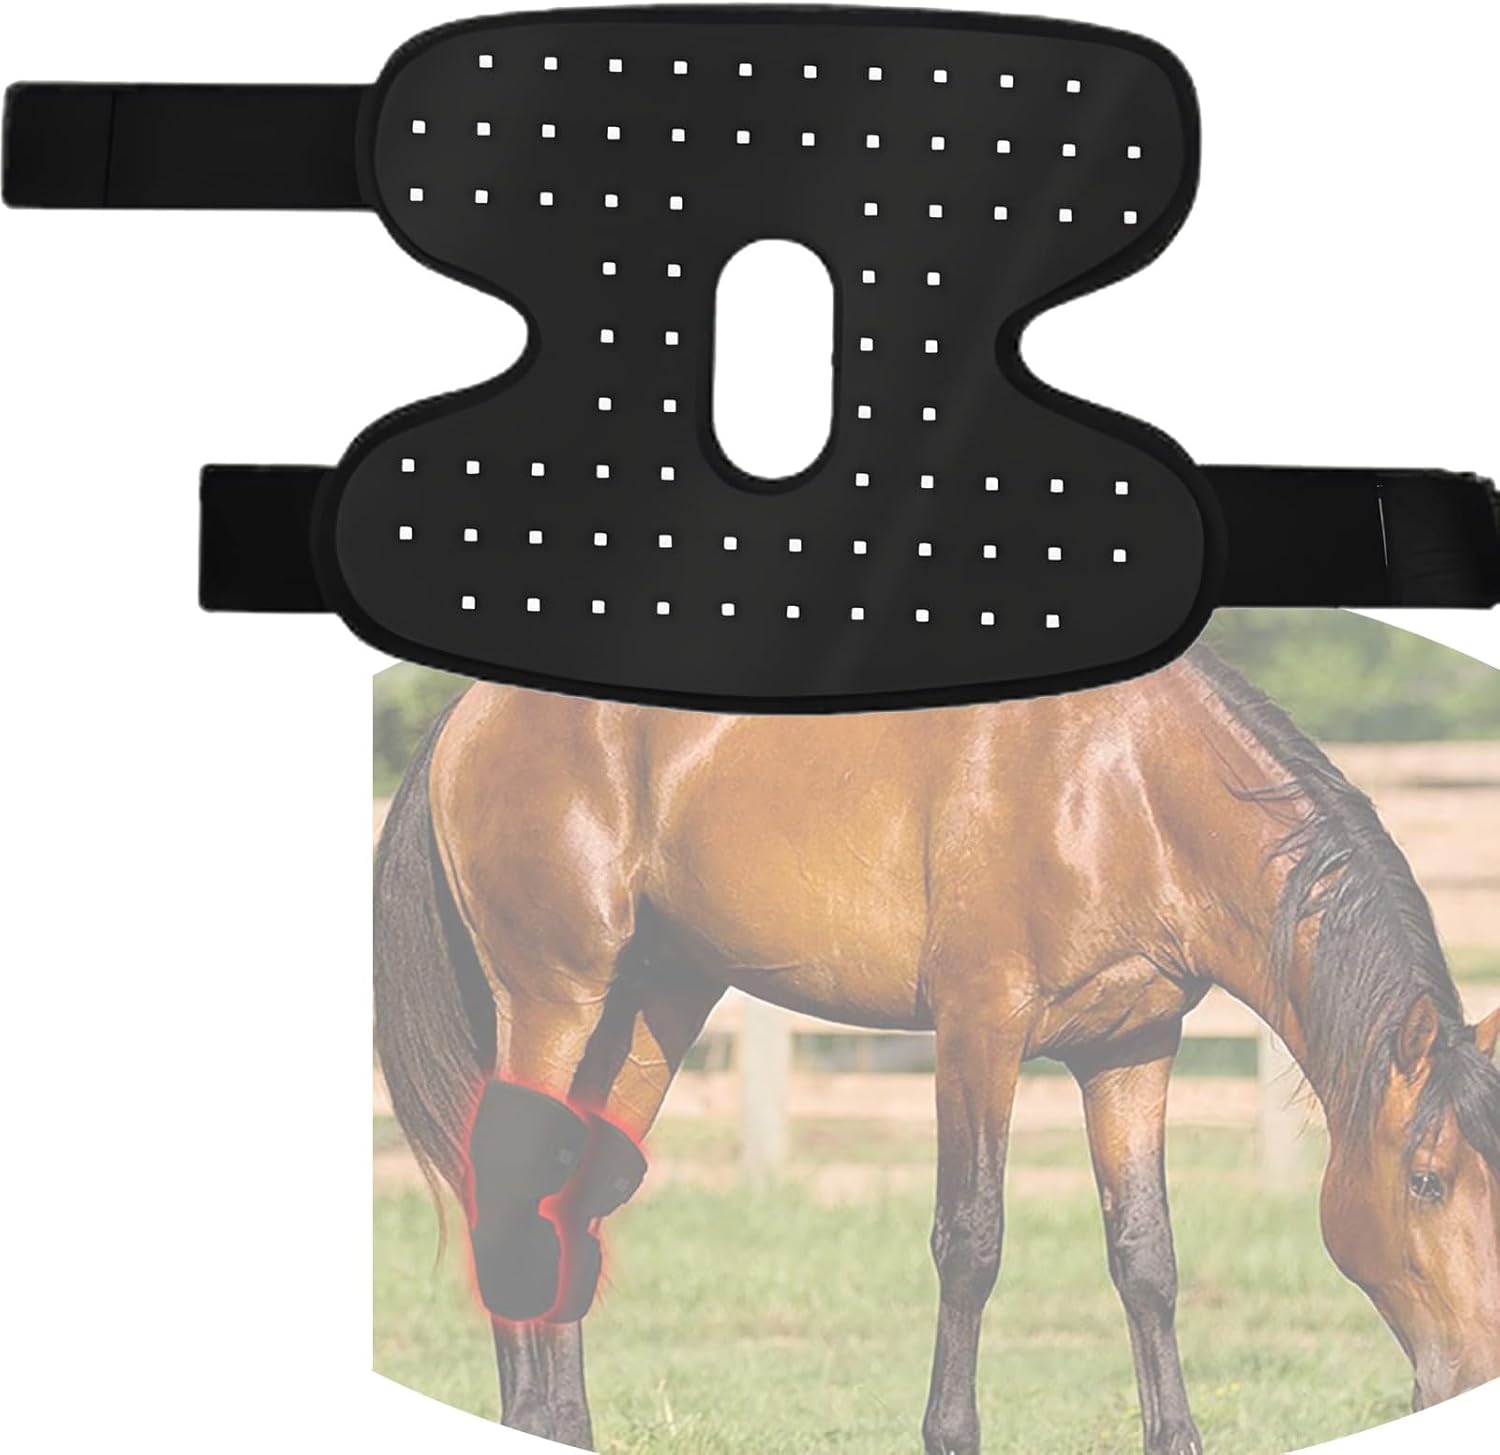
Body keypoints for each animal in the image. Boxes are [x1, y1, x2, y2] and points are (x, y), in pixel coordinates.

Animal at [374, 643, 1500, 1454]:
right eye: (1427, 1178)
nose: (1471, 1380)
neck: (1123, 781)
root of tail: (469, 716)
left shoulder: (1134, 1047)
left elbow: (1146, 1256)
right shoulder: (978, 1029)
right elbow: (972, 1242)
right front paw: (951, 1433)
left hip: (652, 1010)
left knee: (570, 1200)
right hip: (555, 1000)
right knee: (513, 1187)